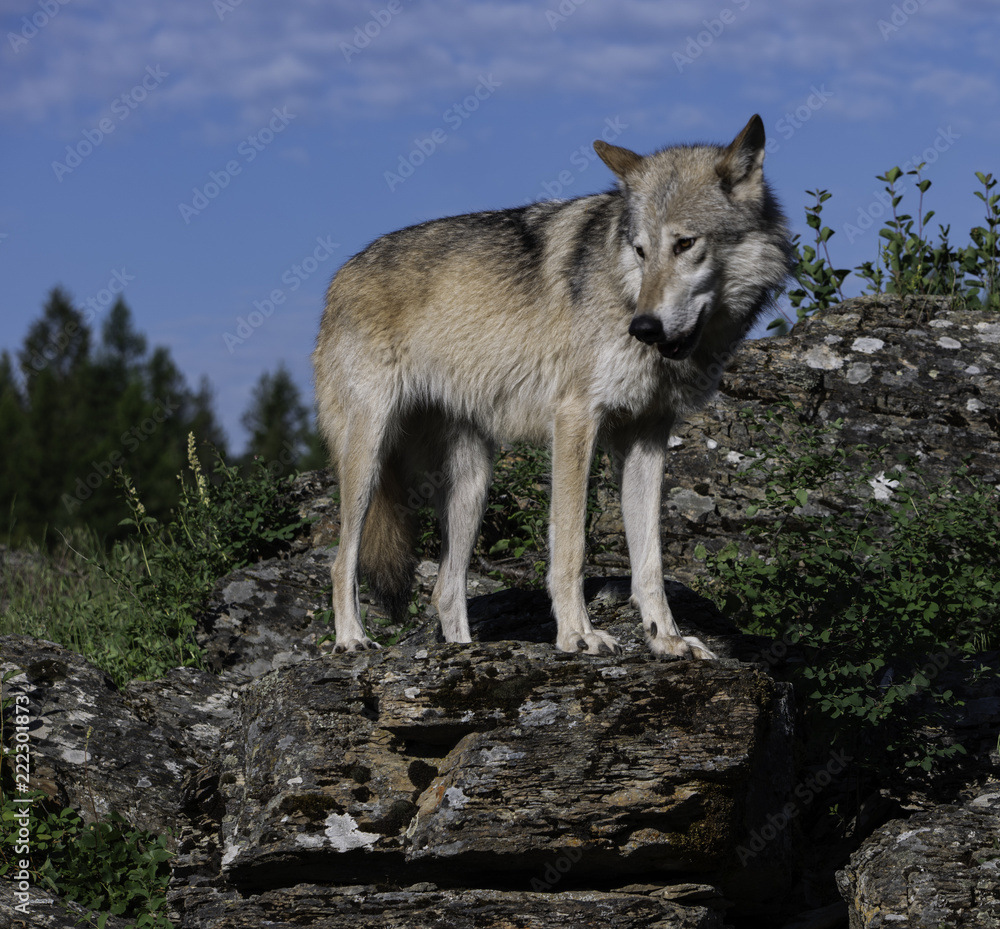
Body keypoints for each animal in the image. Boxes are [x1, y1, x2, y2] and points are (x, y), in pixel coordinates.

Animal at [313, 114, 792, 658]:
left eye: (685, 244)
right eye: (640, 250)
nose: (643, 327)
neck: (624, 289)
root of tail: (340, 277)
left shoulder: (647, 436)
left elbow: (649, 561)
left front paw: (666, 640)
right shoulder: (575, 420)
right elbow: (571, 547)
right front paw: (577, 635)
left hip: (472, 484)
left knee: (444, 589)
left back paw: (463, 650)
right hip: (369, 457)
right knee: (342, 562)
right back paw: (352, 639)